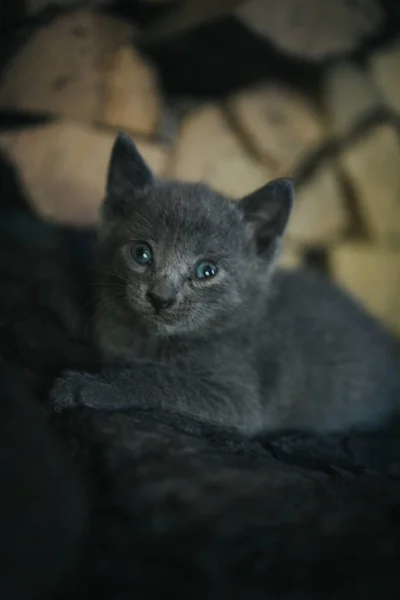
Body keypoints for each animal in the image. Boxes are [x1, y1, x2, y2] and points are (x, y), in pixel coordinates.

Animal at [54, 134, 400, 436]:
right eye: (141, 253)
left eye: (207, 270)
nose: (161, 297)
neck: (153, 339)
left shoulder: (238, 397)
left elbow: (162, 377)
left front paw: (90, 386)